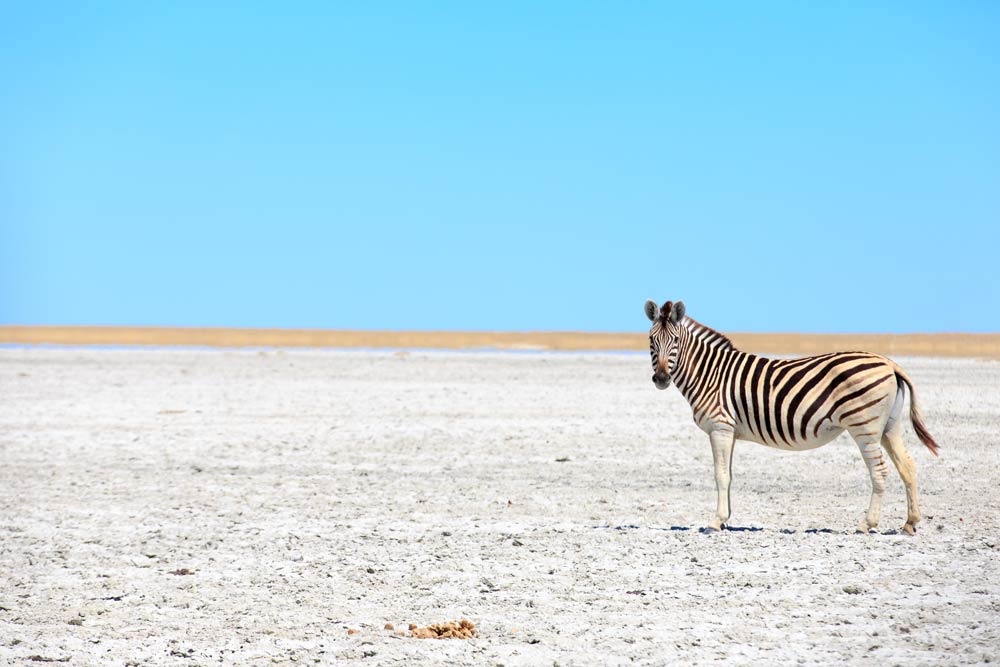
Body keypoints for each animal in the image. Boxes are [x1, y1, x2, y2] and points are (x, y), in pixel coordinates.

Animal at [644, 299, 938, 534]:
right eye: (651, 341)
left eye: (676, 342)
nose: (661, 379)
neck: (709, 373)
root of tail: (889, 363)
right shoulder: (730, 431)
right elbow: (729, 474)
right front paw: (726, 519)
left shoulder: (720, 428)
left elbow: (721, 475)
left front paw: (715, 522)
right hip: (889, 426)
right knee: (907, 466)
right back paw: (910, 522)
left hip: (864, 426)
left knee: (880, 470)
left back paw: (867, 524)